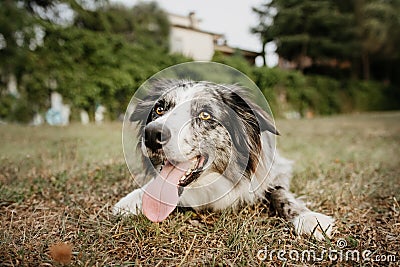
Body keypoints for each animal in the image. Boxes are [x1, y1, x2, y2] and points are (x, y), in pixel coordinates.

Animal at [113, 79, 334, 241]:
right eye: (159, 109)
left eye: (205, 115)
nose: (151, 134)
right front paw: (131, 200)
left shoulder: (276, 169)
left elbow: (281, 193)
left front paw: (308, 217)